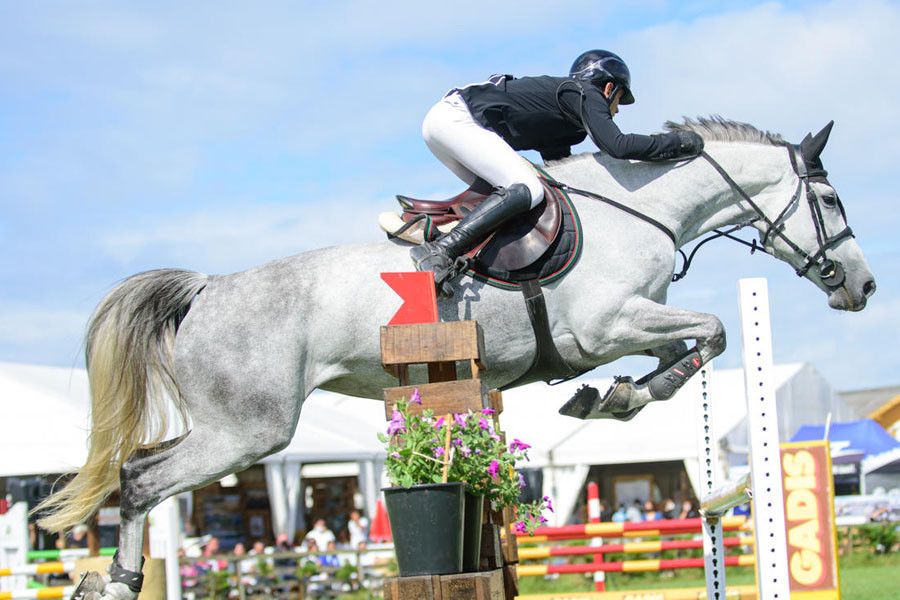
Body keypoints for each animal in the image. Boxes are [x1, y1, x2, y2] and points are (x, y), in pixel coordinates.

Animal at [37, 118, 872, 600]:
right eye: (831, 202)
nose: (862, 287)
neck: (642, 207)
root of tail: (208, 290)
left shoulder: (630, 328)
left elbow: (691, 346)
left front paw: (608, 399)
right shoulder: (605, 326)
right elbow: (716, 329)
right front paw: (617, 398)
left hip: (228, 428)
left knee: (137, 464)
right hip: (251, 431)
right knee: (142, 480)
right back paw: (116, 583)